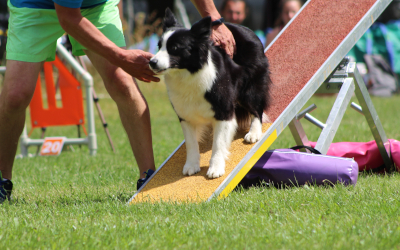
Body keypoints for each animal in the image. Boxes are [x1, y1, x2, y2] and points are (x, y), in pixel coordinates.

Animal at [150, 9, 272, 178]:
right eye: (159, 45)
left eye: (174, 48)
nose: (151, 62)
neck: (188, 73)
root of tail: (244, 28)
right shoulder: (185, 114)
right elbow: (191, 143)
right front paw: (191, 165)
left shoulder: (224, 111)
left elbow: (218, 143)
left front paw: (215, 168)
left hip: (250, 88)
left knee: (257, 108)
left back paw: (254, 133)